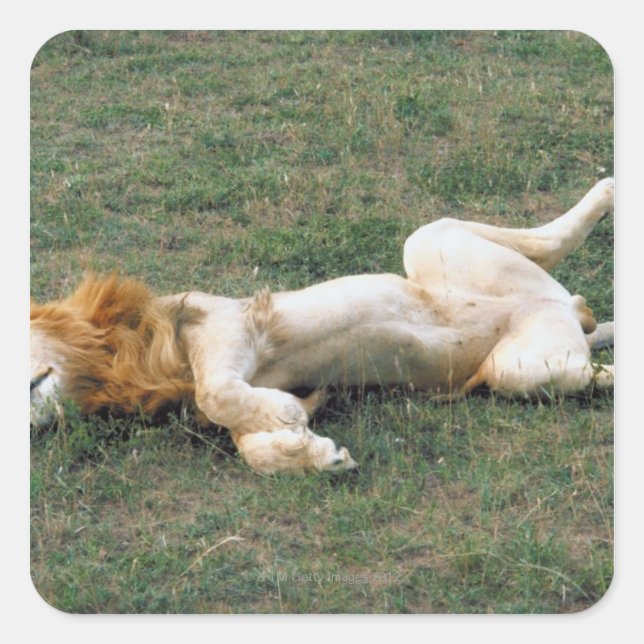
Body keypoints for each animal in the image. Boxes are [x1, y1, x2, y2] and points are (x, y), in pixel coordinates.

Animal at [30, 178, 615, 473]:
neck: (114, 361)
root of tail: (564, 309)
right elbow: (251, 447)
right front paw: (320, 454)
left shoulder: (226, 324)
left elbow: (214, 394)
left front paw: (289, 420)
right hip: (525, 367)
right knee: (593, 362)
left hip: (432, 243)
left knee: (549, 241)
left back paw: (607, 191)